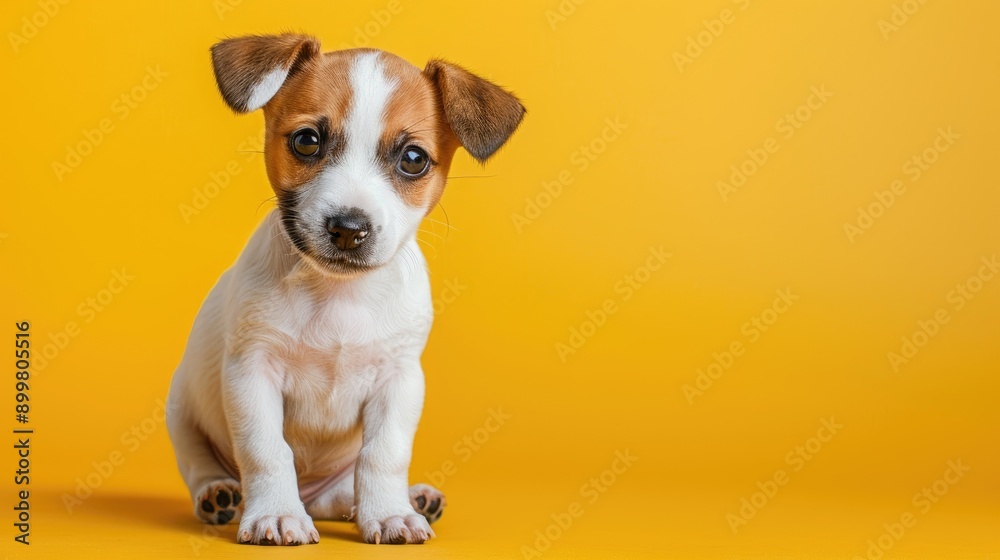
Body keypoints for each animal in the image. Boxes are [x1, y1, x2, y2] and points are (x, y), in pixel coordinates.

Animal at [166, 32, 524, 544]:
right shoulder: (252, 374)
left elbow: (384, 454)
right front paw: (277, 513)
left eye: (413, 159)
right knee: (199, 464)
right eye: (306, 141)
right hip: (181, 410)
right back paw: (220, 494)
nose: (349, 229)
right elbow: (266, 450)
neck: (338, 293)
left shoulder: (399, 381)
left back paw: (399, 500)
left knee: (340, 493)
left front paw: (389, 513)